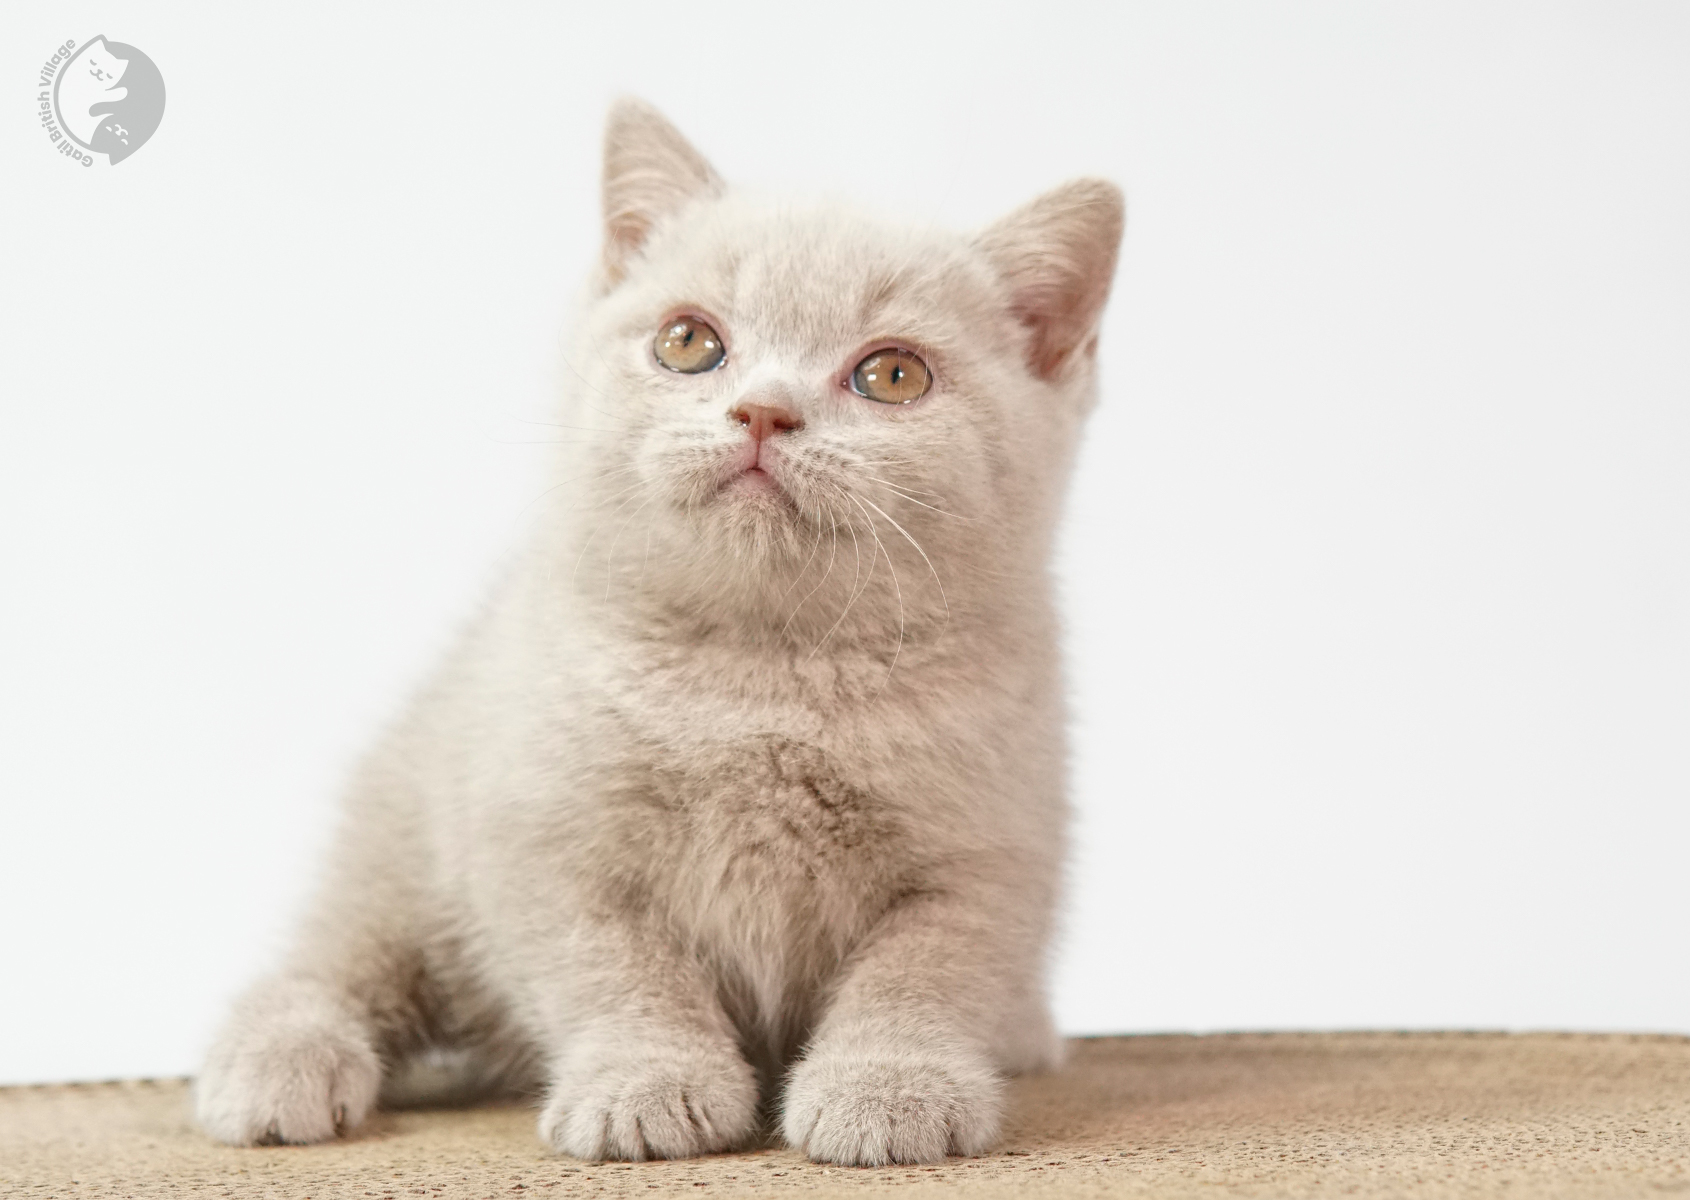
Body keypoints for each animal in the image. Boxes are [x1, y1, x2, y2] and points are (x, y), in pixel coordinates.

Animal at [197, 98, 1122, 1169]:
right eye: (689, 343)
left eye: (892, 374)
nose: (763, 411)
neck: (764, 671)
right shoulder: (542, 838)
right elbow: (614, 969)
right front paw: (647, 1083)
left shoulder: (986, 856)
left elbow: (922, 973)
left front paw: (888, 1088)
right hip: (400, 840)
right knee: (332, 962)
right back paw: (276, 1067)